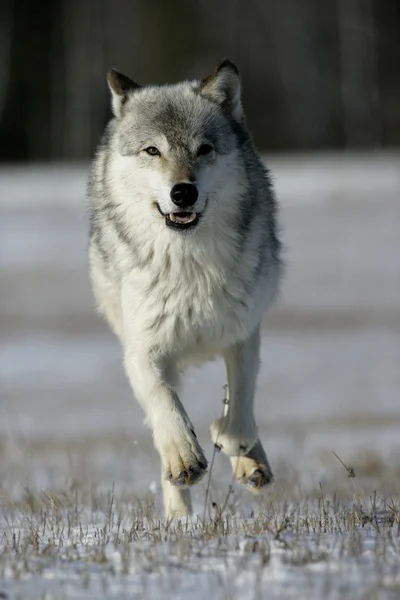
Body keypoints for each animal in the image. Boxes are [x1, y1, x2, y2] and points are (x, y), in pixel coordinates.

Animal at [88, 62, 282, 520]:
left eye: (204, 149)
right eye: (152, 151)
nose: (182, 192)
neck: (189, 264)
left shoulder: (243, 331)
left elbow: (241, 406)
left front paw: (232, 442)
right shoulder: (143, 350)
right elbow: (166, 406)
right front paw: (184, 458)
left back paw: (250, 462)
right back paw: (180, 518)